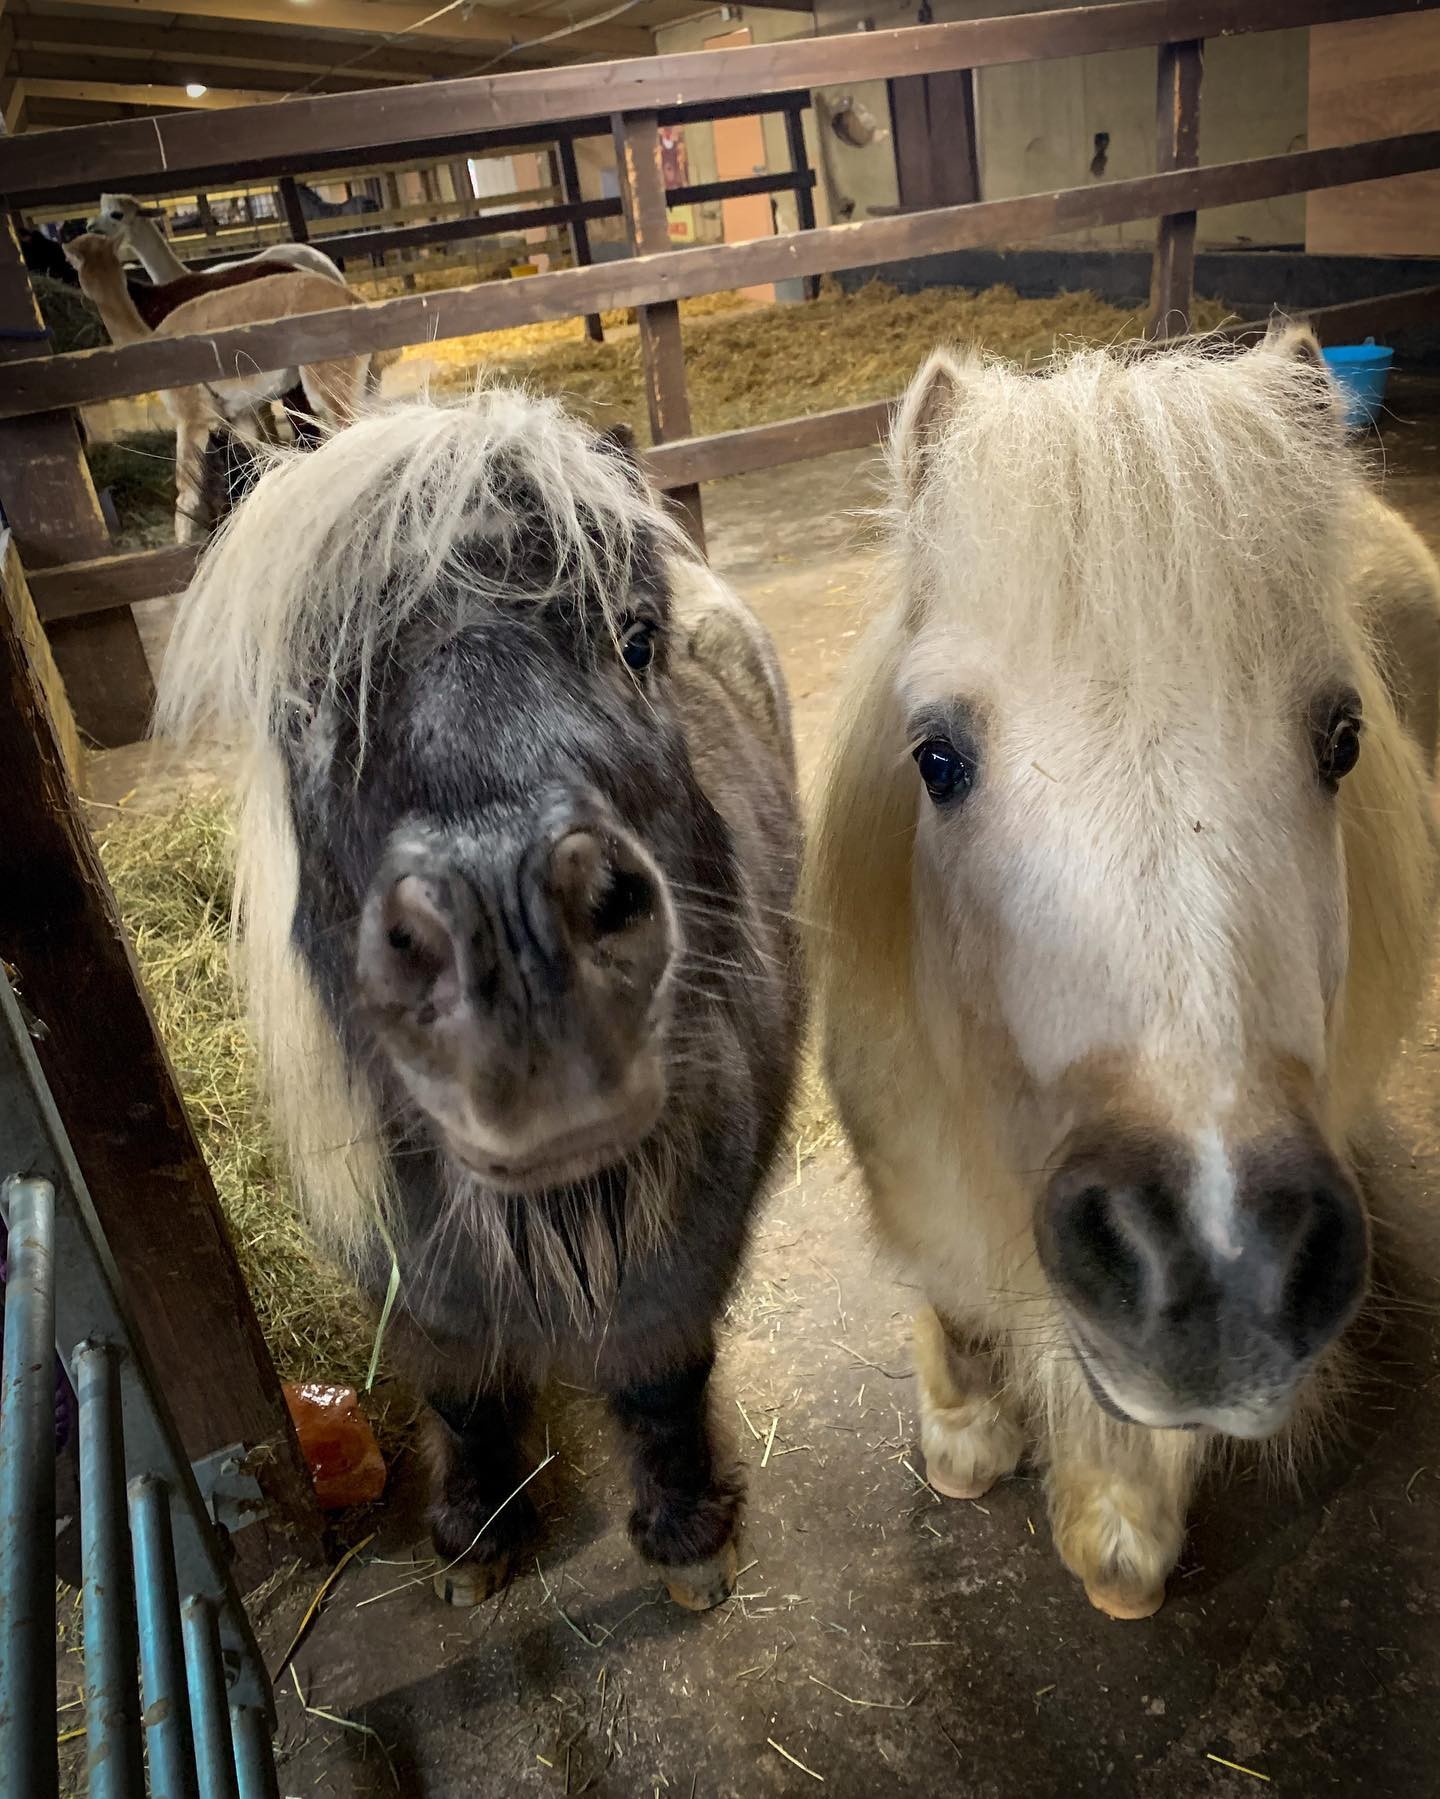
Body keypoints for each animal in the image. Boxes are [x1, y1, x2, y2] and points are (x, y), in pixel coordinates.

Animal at [155, 389, 803, 1610]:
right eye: (308, 706)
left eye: (635, 638)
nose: (521, 961)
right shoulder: (413, 1275)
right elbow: (462, 1389)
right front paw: (475, 1534)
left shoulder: (687, 1235)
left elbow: (659, 1371)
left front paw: (687, 1533)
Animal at [808, 326, 1440, 1620]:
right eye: (934, 756)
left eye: (1343, 737)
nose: (1218, 1260)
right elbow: (953, 1302)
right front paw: (964, 1437)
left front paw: (1119, 1530)